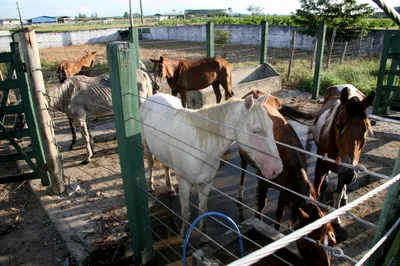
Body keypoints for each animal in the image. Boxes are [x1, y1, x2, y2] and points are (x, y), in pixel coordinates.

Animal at [139, 93, 282, 239]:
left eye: (271, 126)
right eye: (256, 131)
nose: (276, 170)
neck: (201, 146)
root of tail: (154, 96)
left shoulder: (206, 183)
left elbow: (203, 210)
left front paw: (204, 236)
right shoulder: (184, 183)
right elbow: (186, 213)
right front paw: (184, 235)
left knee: (166, 167)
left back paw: (170, 188)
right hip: (146, 146)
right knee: (150, 163)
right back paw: (150, 186)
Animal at [239, 90, 336, 266]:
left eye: (332, 242)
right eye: (315, 245)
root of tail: (255, 92)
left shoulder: (285, 192)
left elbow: (279, 215)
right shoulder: (263, 182)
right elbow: (260, 209)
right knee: (242, 166)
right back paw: (241, 189)